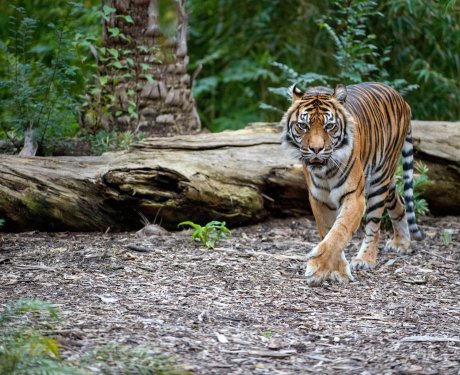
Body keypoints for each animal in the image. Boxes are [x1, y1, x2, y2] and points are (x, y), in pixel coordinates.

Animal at [282, 82, 426, 286]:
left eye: (329, 126)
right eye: (303, 125)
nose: (316, 149)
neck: (325, 172)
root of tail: (401, 99)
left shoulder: (354, 197)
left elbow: (339, 231)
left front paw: (318, 268)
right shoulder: (319, 199)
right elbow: (328, 232)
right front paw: (336, 270)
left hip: (380, 180)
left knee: (374, 225)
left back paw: (365, 259)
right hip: (388, 181)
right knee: (400, 204)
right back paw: (402, 243)